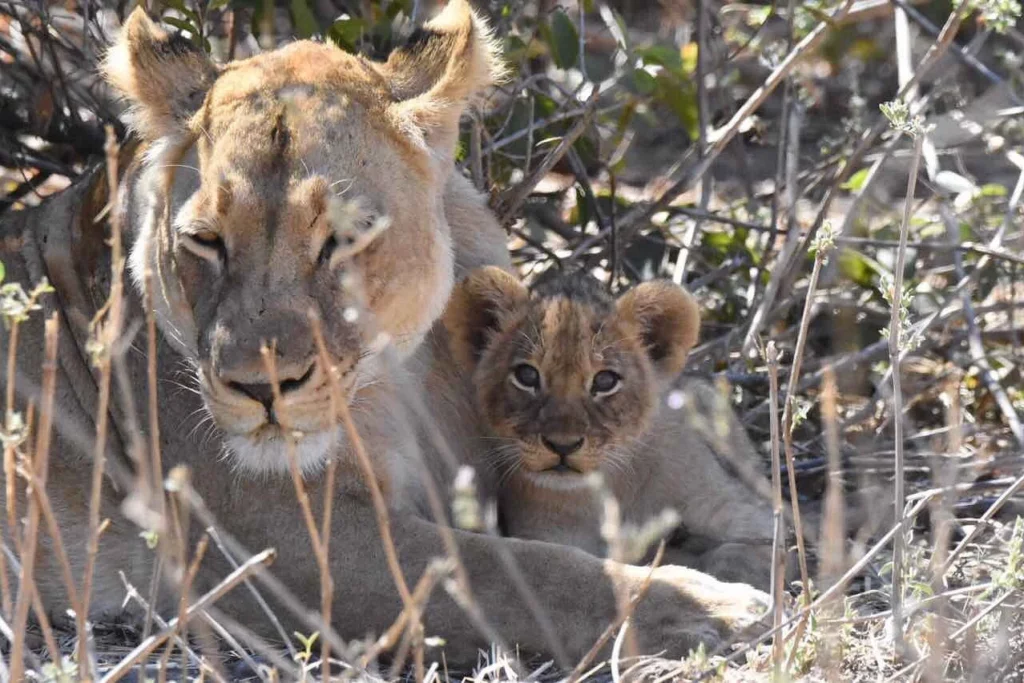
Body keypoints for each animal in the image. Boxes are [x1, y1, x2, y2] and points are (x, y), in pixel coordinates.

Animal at [442, 267, 778, 589]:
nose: (563, 445)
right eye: (527, 375)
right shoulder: (550, 537)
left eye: (605, 381)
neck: (608, 493)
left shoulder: (749, 515)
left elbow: (744, 551)